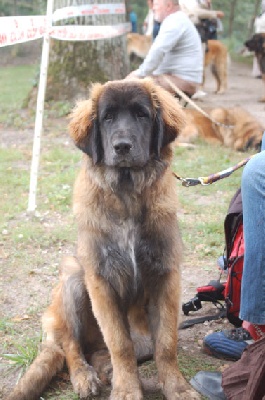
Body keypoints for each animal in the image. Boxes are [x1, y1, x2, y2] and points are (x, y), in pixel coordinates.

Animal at [7, 79, 198, 400]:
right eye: (108, 118)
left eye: (141, 115)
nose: (122, 147)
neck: (127, 197)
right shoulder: (101, 282)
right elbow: (120, 345)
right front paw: (126, 391)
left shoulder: (165, 277)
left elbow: (166, 344)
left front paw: (177, 387)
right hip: (73, 278)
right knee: (71, 347)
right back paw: (85, 377)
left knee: (102, 352)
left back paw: (109, 372)